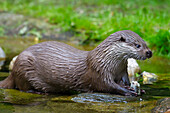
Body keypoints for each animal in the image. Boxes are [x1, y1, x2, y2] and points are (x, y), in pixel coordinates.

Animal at [0, 30, 151, 95]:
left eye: (145, 43)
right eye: (138, 45)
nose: (149, 52)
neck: (107, 61)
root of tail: (12, 71)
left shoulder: (122, 70)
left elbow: (125, 80)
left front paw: (140, 89)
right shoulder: (98, 72)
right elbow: (107, 86)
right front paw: (127, 91)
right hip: (23, 65)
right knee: (22, 87)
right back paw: (38, 92)